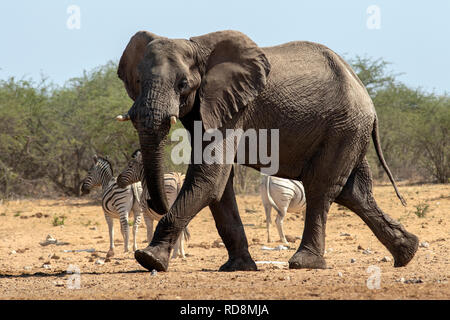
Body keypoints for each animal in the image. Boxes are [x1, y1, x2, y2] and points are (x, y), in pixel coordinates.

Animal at [115, 30, 418, 272]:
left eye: (182, 85)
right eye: (138, 82)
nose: (154, 201)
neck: (197, 45)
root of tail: (366, 95)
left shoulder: (234, 107)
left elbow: (210, 178)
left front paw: (149, 260)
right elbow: (219, 183)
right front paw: (238, 268)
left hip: (344, 127)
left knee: (322, 188)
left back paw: (304, 264)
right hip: (349, 131)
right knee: (353, 193)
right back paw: (408, 252)